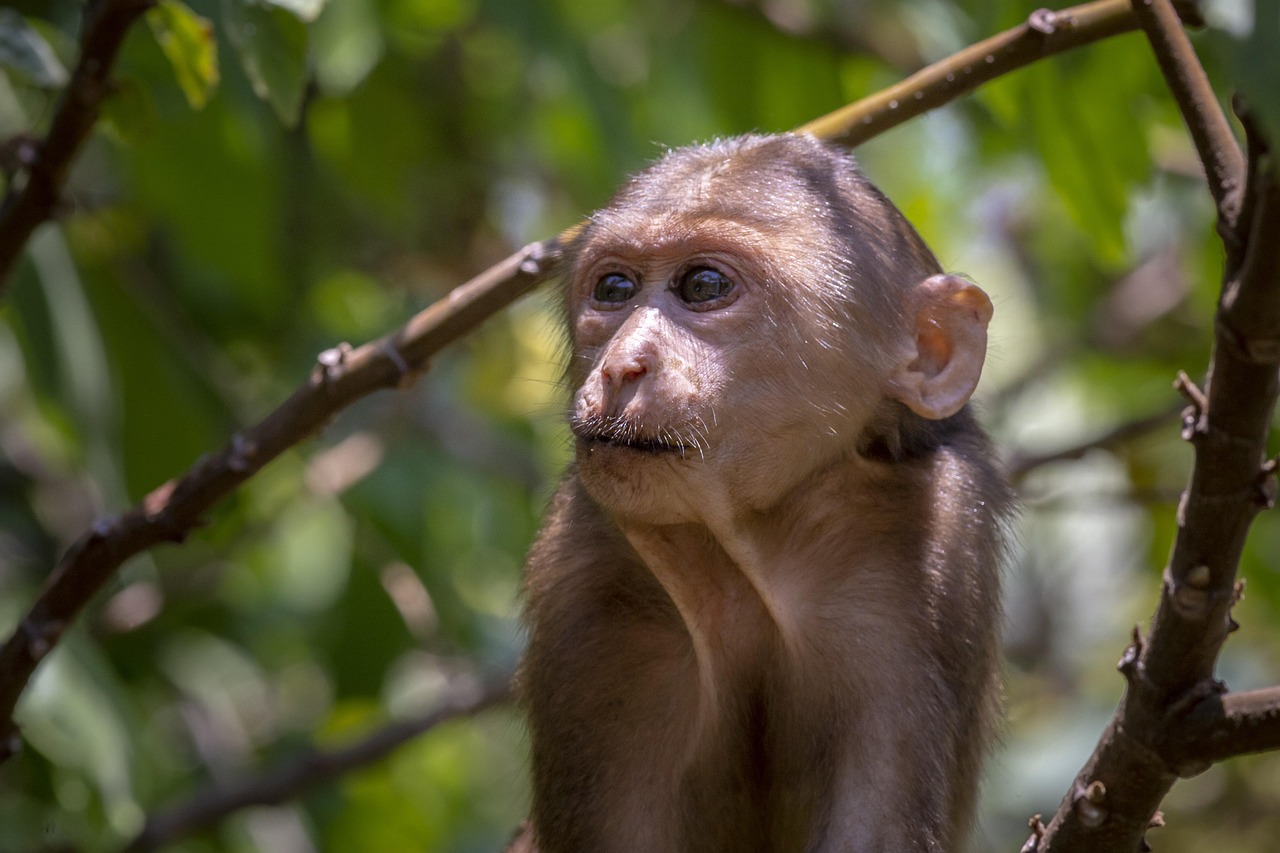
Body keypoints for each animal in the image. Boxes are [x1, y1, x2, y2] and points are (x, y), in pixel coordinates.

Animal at [514, 133, 1003, 850]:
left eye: (704, 286)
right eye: (613, 288)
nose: (621, 365)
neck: (748, 546)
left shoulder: (934, 547)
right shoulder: (588, 587)